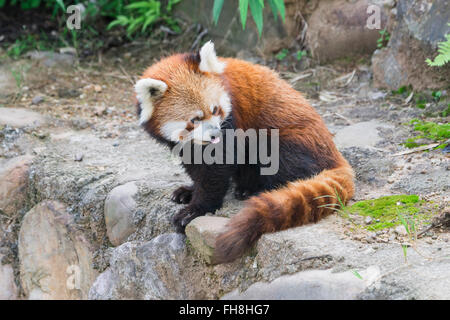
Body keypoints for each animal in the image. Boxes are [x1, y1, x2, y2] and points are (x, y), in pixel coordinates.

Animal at [135, 41, 354, 264]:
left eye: (215, 110)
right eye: (194, 120)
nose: (215, 135)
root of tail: (334, 155)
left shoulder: (232, 118)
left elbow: (217, 165)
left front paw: (196, 209)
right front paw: (189, 190)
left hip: (292, 141)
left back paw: (254, 189)